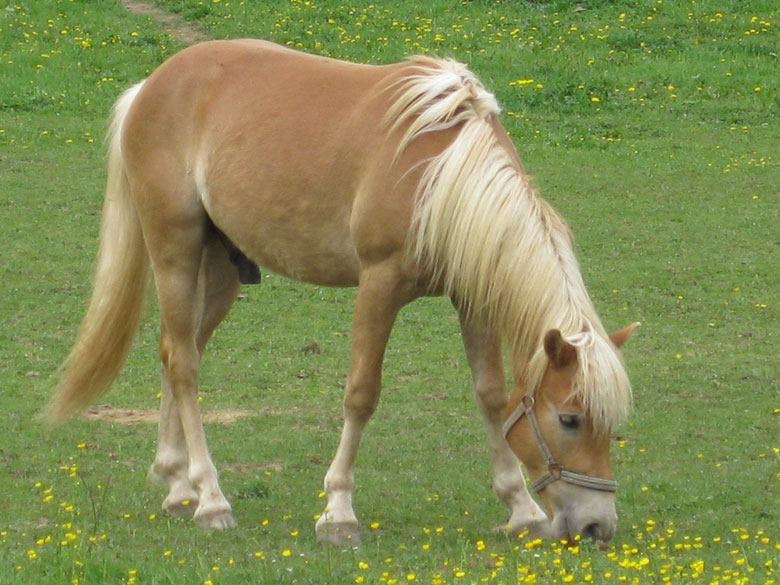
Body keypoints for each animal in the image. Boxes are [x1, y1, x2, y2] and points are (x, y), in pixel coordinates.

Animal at [45, 40, 636, 544]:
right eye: (569, 419)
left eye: (612, 425)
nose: (597, 527)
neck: (439, 170)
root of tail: (150, 86)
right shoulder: (379, 284)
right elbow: (361, 394)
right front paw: (338, 511)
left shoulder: (473, 295)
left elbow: (491, 395)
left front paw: (520, 507)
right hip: (175, 250)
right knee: (186, 366)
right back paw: (211, 500)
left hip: (219, 271)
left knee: (175, 351)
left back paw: (177, 485)